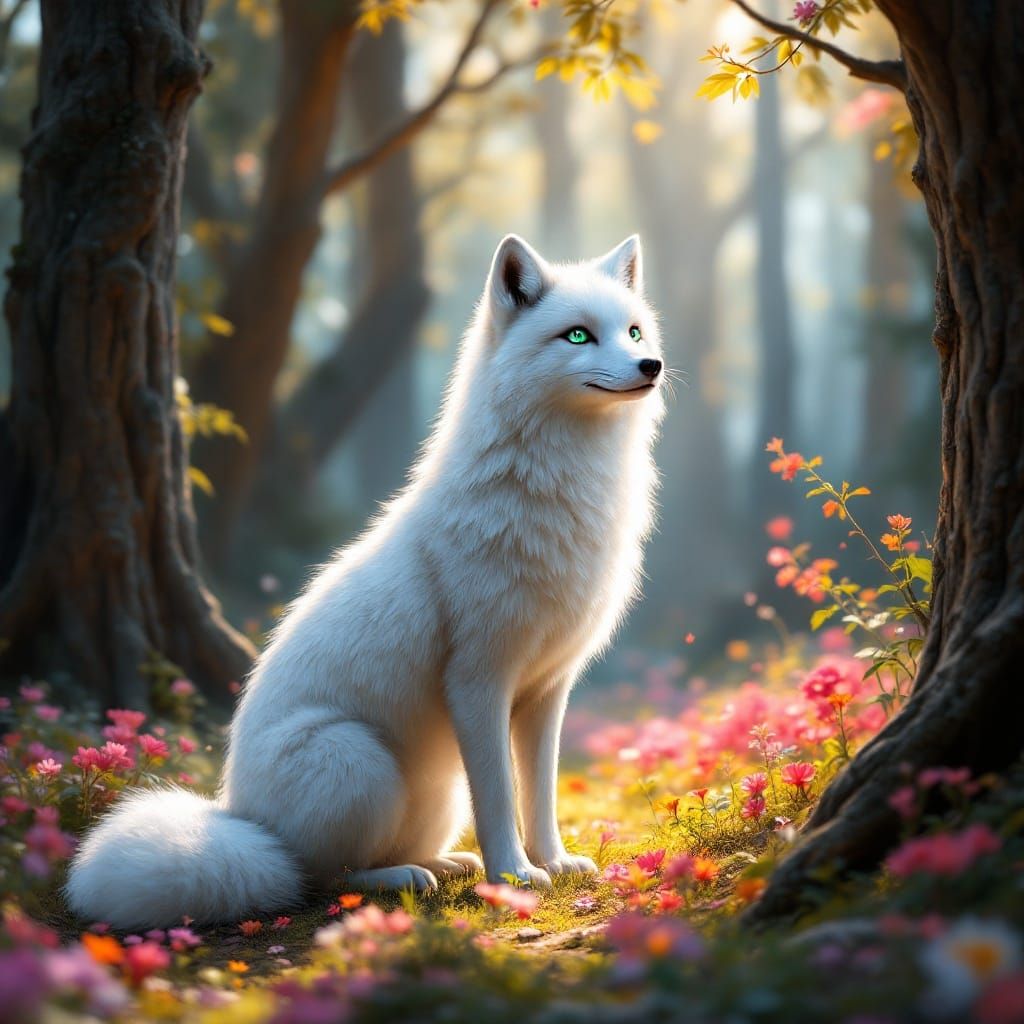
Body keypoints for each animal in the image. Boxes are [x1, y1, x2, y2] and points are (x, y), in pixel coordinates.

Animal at [66, 234, 666, 929]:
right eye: (577, 335)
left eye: (632, 330)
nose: (651, 364)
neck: (561, 489)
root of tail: (241, 818)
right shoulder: (478, 682)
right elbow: (499, 799)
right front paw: (514, 877)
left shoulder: (547, 689)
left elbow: (537, 794)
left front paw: (555, 862)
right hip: (359, 758)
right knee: (320, 877)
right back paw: (404, 877)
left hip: (435, 788)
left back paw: (444, 864)